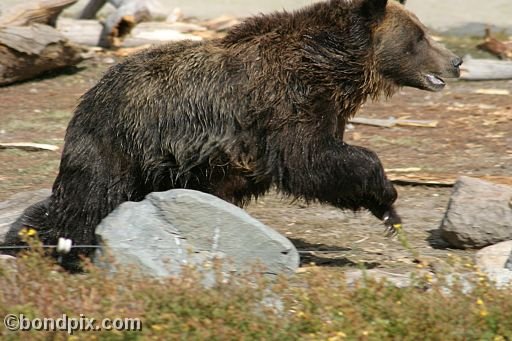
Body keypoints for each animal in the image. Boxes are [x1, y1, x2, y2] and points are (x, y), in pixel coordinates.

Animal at [4, 0, 462, 266]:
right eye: (420, 36)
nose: (456, 61)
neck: (333, 68)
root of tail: (92, 91)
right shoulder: (286, 105)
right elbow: (312, 160)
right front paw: (387, 200)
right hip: (117, 141)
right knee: (87, 197)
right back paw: (49, 244)